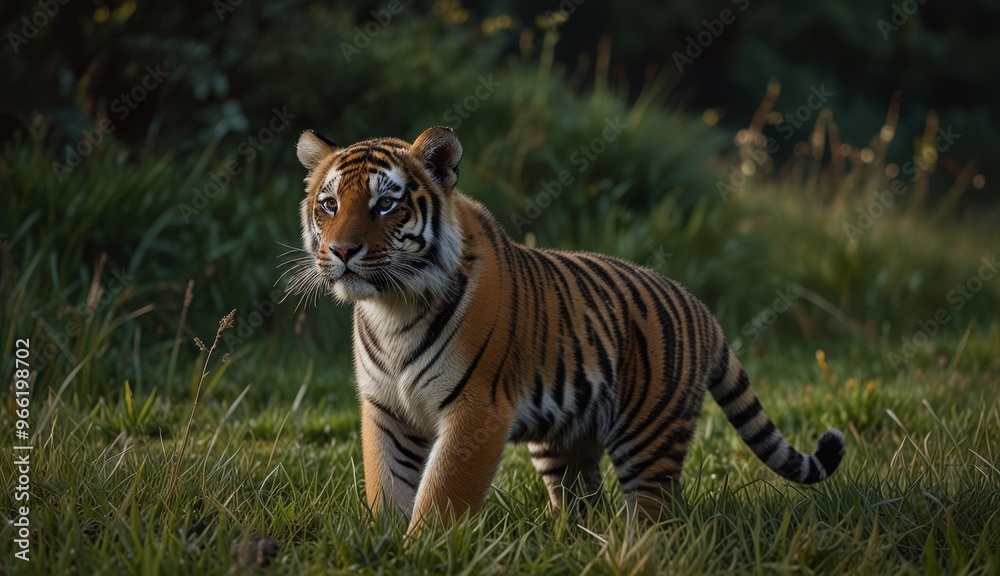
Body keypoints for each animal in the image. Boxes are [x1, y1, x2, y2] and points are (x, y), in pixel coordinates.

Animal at [289, 126, 845, 533]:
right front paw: (382, 542)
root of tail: (702, 309)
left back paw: (630, 550)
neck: (393, 307)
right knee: (581, 499)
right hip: (565, 437)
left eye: (386, 204)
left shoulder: (476, 410)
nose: (341, 251)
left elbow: (443, 493)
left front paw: (421, 547)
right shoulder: (385, 408)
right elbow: (385, 484)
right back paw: (569, 540)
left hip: (649, 434)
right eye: (330, 204)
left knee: (655, 513)